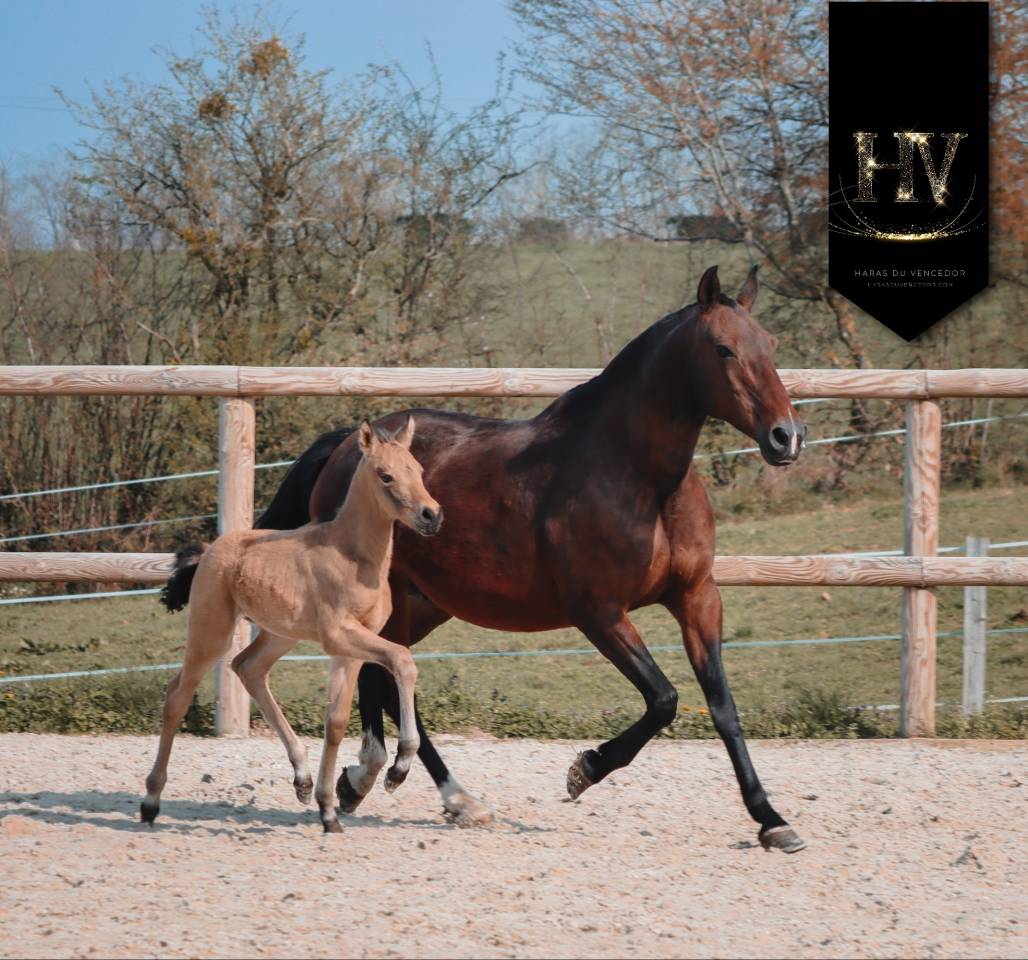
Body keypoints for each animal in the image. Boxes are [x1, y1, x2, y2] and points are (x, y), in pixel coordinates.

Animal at [144, 417, 442, 833]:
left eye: (416, 469)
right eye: (386, 475)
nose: (432, 515)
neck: (353, 555)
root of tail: (209, 550)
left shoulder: (351, 644)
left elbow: (336, 720)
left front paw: (329, 811)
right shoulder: (339, 635)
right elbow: (402, 660)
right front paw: (397, 770)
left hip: (279, 635)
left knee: (247, 668)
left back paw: (301, 778)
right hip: (212, 631)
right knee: (177, 696)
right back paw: (150, 803)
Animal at [258, 263, 809, 852]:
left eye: (771, 344)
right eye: (724, 349)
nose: (787, 437)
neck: (639, 478)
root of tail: (346, 446)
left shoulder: (698, 598)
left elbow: (723, 708)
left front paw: (772, 819)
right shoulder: (599, 613)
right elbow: (664, 699)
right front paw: (584, 770)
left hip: (422, 603)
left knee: (381, 672)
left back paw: (386, 783)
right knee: (382, 675)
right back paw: (413, 786)